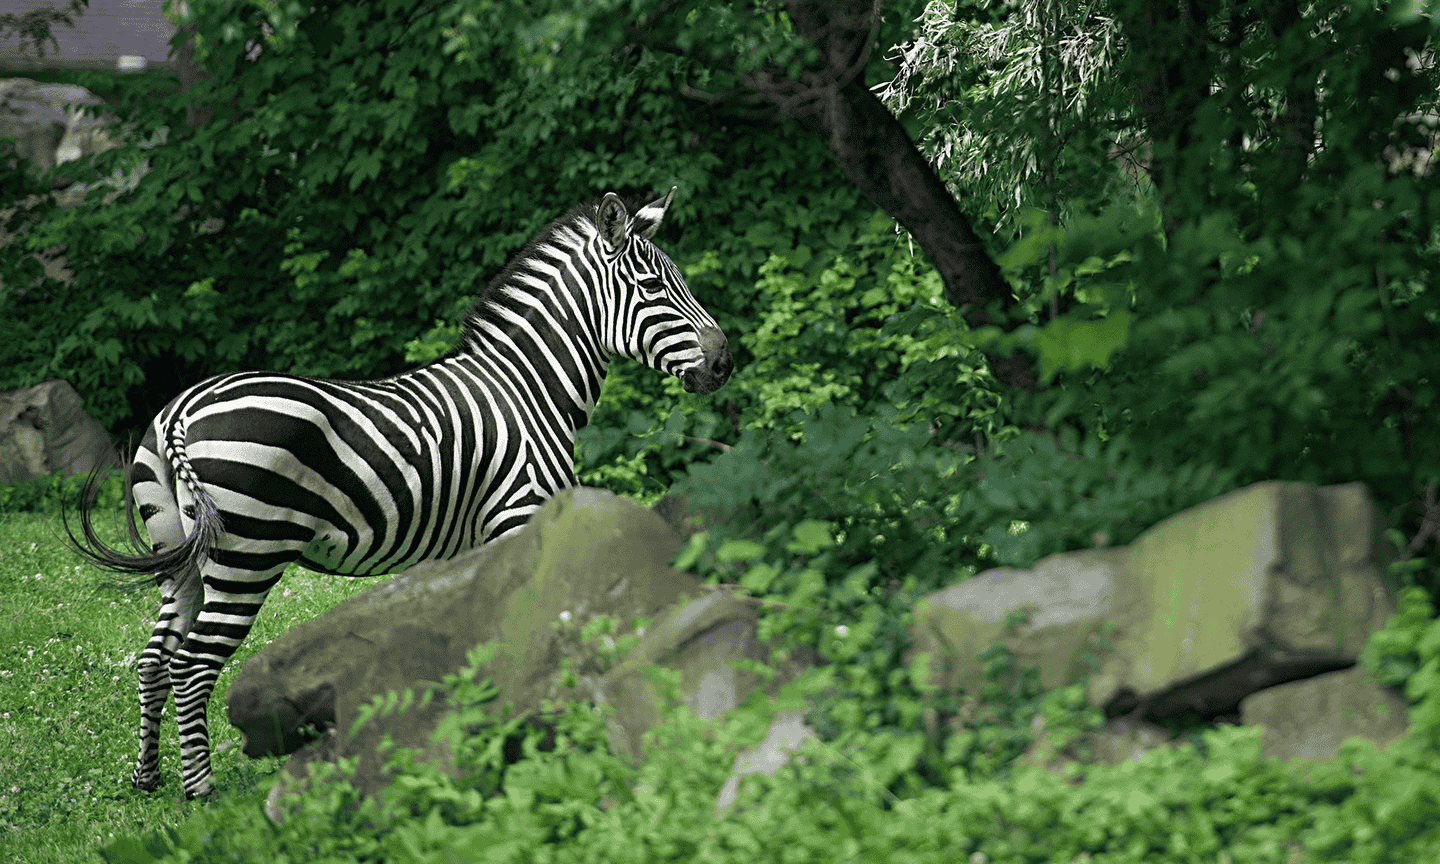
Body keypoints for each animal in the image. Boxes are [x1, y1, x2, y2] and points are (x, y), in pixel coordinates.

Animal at [64, 187, 731, 794]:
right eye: (653, 287)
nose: (725, 363)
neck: (527, 388)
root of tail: (181, 410)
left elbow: (471, 637)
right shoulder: (520, 515)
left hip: (178, 554)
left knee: (154, 659)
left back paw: (147, 778)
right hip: (246, 556)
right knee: (192, 664)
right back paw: (200, 794)